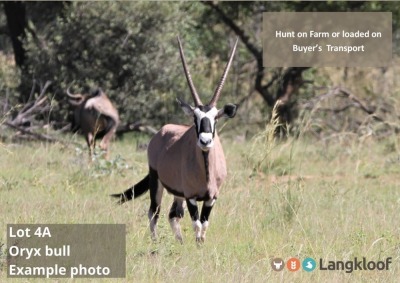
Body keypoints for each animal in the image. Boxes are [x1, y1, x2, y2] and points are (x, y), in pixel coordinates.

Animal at [111, 36, 239, 243]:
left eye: (216, 119)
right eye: (194, 118)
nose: (205, 142)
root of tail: (161, 132)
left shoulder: (211, 198)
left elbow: (204, 226)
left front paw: (199, 244)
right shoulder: (191, 196)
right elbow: (197, 225)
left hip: (177, 193)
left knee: (173, 214)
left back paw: (180, 242)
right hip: (157, 182)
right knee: (154, 212)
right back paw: (156, 242)